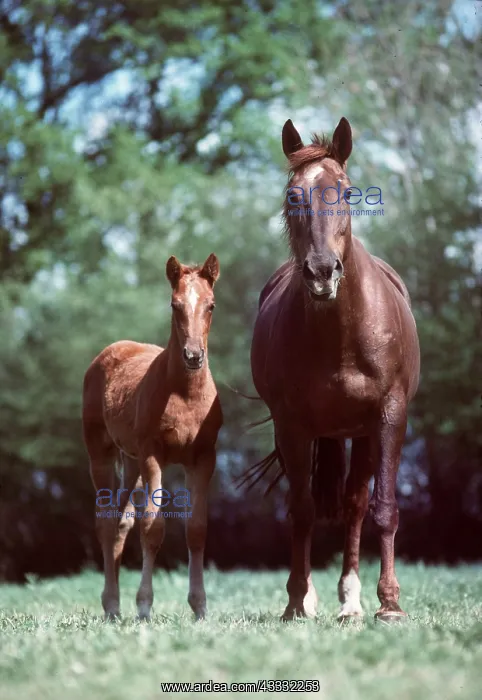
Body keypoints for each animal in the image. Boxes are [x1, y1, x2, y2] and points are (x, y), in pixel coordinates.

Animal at [82, 254, 222, 621]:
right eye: (175, 305)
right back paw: (112, 605)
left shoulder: (204, 458)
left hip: (130, 461)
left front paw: (200, 606)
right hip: (101, 454)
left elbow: (197, 529)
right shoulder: (152, 455)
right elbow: (153, 527)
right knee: (105, 521)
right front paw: (144, 606)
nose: (193, 356)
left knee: (120, 521)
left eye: (211, 305)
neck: (185, 394)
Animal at [250, 117, 420, 623]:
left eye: (345, 191)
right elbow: (302, 510)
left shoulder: (389, 417)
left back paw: (352, 601)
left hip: (362, 434)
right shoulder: (291, 425)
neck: (340, 336)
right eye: (293, 195)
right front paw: (295, 601)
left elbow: (383, 508)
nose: (322, 271)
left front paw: (390, 605)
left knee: (356, 505)